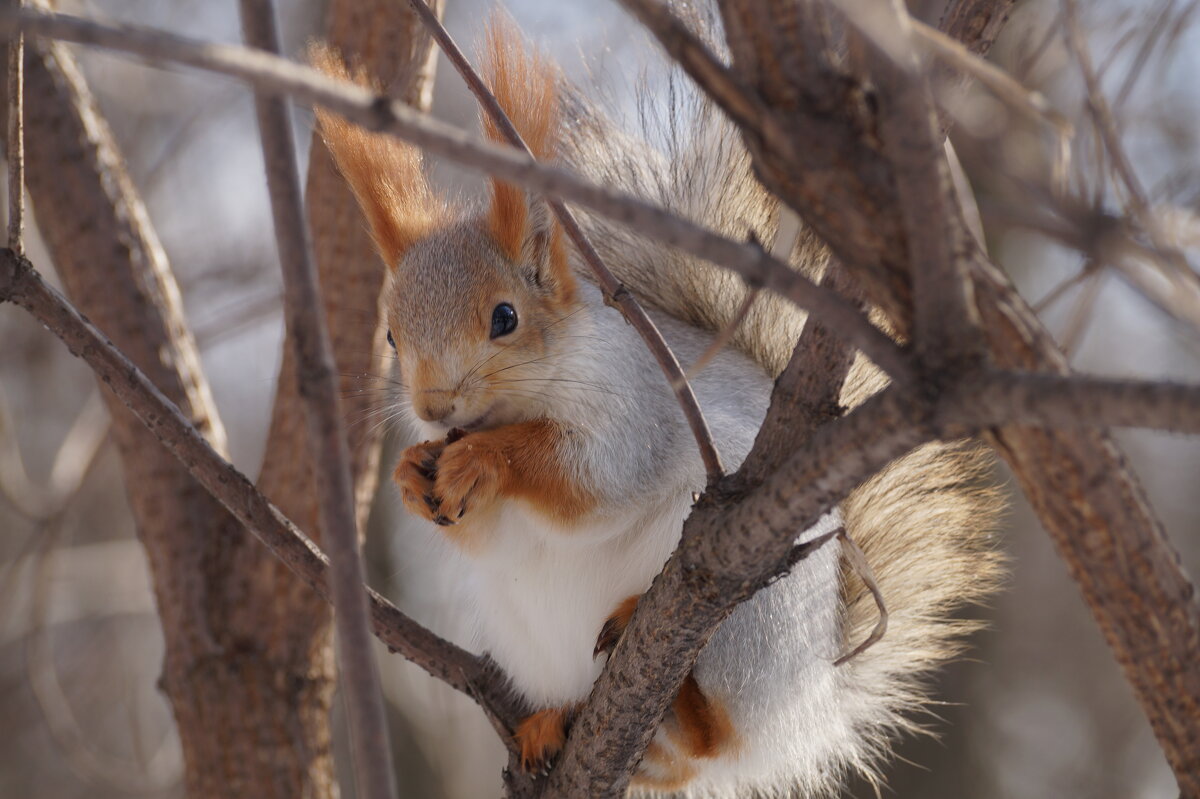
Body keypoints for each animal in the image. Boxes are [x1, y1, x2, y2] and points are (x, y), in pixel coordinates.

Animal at [309, 14, 1003, 796]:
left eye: (505, 318)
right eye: (391, 335)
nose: (432, 406)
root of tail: (805, 709)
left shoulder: (637, 408)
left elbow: (592, 480)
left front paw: (485, 460)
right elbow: (489, 534)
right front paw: (411, 470)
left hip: (751, 630)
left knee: (712, 739)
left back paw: (672, 675)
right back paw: (557, 723)